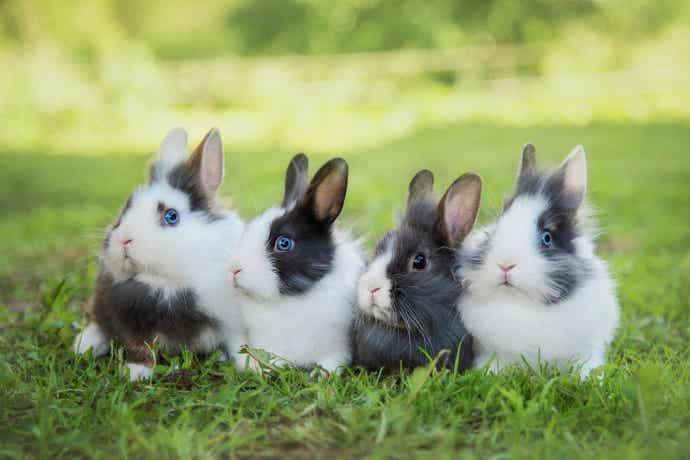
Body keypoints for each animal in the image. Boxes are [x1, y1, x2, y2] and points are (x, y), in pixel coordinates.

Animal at [71, 126, 245, 380]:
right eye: (125, 209)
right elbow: (140, 346)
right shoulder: (128, 316)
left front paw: (255, 365)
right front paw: (136, 372)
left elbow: (240, 344)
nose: (124, 239)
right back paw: (84, 344)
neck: (167, 282)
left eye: (171, 216)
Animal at [227, 153, 366, 372]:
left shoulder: (338, 347)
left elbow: (331, 362)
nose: (235, 269)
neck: (292, 299)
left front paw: (320, 375)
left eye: (284, 243)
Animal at [456, 144, 620, 378]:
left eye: (547, 238)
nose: (505, 263)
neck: (520, 304)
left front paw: (589, 379)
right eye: (496, 227)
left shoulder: (587, 350)